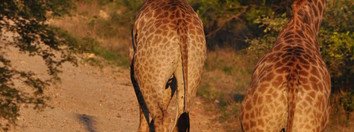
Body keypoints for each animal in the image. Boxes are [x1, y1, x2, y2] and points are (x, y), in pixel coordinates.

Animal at [131, 0, 207, 131]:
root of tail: (182, 28)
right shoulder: (171, 80)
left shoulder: (133, 65)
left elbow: (142, 106)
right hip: (192, 72)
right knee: (180, 116)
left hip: (145, 73)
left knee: (162, 116)